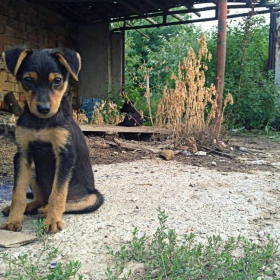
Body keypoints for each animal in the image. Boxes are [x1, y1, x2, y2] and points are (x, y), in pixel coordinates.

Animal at [0, 47, 104, 233]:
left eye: (57, 80)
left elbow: (58, 193)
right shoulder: (22, 153)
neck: (42, 122)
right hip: (33, 169)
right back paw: (26, 208)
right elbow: (17, 192)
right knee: (40, 199)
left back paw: (46, 211)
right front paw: (13, 220)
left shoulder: (65, 154)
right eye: (28, 80)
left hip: (94, 198)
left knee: (61, 201)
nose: (44, 109)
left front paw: (52, 221)